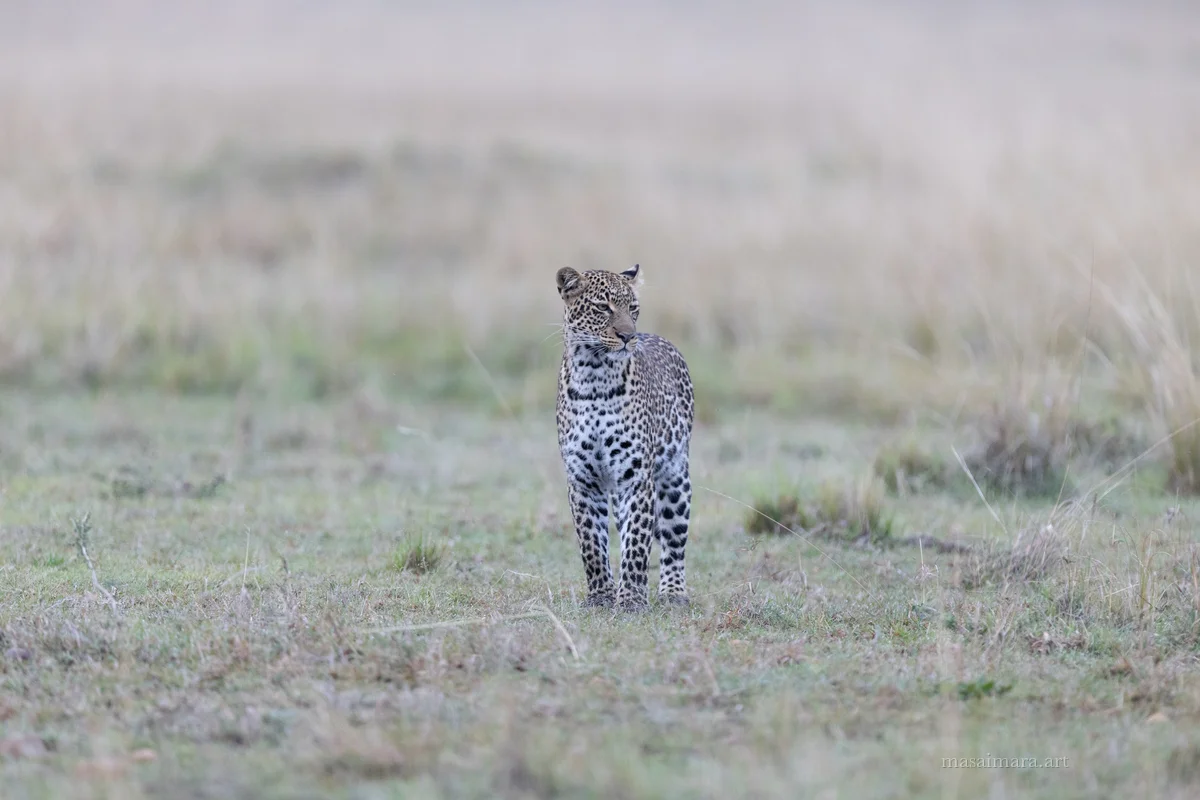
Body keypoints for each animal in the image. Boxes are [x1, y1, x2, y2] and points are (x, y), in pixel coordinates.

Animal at [554, 264, 695, 611]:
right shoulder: (582, 479)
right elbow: (591, 543)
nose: (628, 336)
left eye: (633, 308)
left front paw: (631, 599)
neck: (594, 376)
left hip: (675, 478)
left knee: (673, 539)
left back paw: (673, 592)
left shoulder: (636, 477)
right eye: (602, 307)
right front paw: (601, 596)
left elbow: (637, 544)